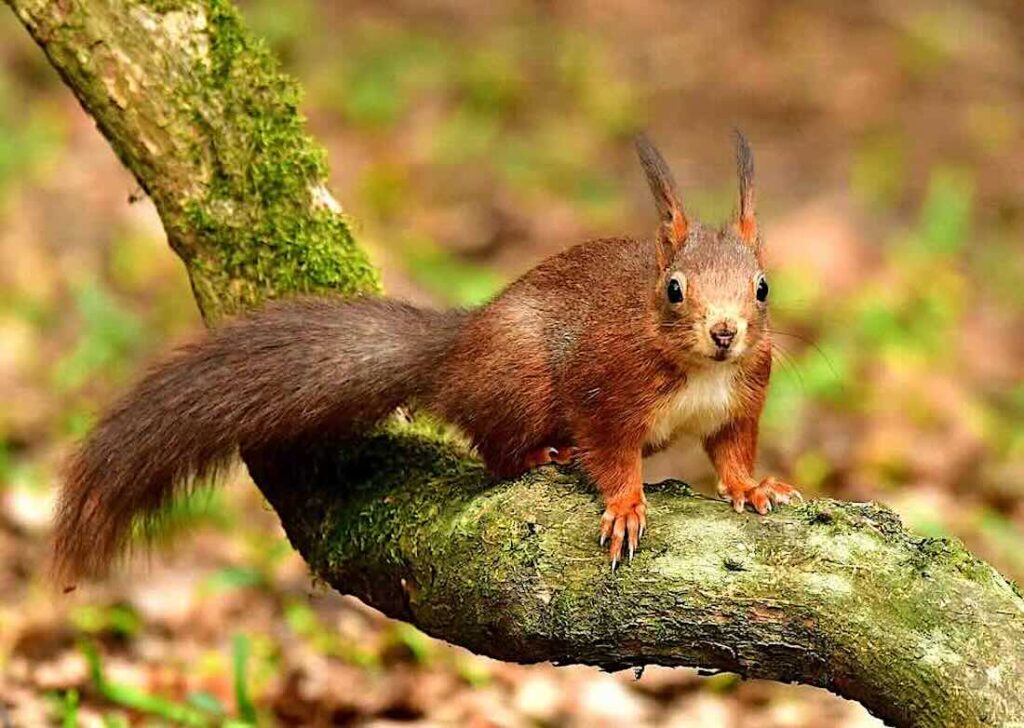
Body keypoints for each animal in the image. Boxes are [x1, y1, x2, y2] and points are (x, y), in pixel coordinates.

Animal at [53, 132, 800, 582]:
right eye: (674, 289)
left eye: (763, 287)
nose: (726, 332)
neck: (702, 372)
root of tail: (456, 352)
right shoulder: (607, 386)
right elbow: (609, 450)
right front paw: (625, 506)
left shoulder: (744, 397)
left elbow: (731, 450)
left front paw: (752, 487)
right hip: (520, 379)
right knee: (496, 448)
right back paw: (540, 456)